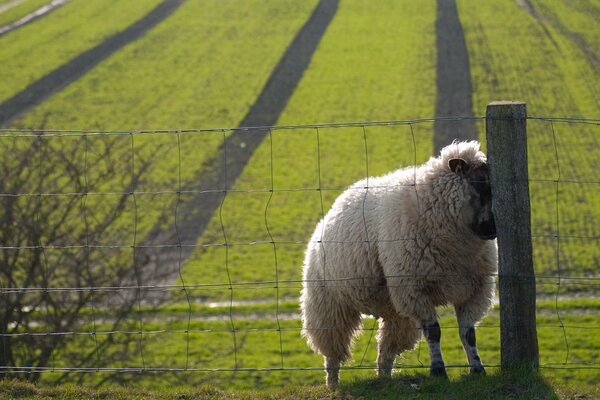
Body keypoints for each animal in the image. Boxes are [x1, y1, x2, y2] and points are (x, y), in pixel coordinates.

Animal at [300, 140, 496, 388]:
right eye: (479, 184)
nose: (493, 229)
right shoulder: (416, 289)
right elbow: (434, 332)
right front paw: (438, 371)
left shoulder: (475, 290)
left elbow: (468, 334)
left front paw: (478, 369)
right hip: (328, 305)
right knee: (332, 351)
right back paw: (333, 384)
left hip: (394, 309)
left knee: (386, 350)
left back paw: (384, 378)